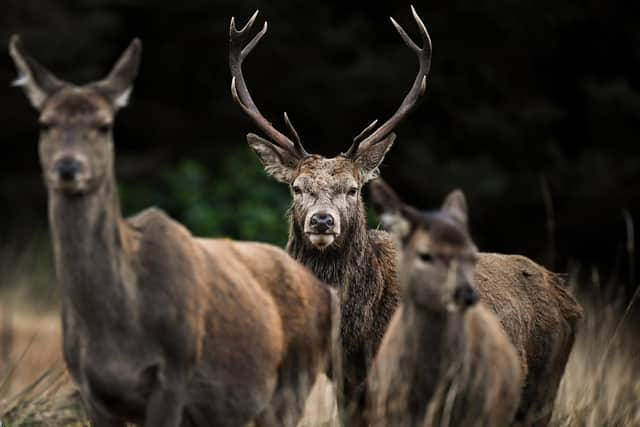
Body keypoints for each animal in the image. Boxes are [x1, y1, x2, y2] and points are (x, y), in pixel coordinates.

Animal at [10, 36, 338, 427]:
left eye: (105, 125)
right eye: (44, 123)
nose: (68, 168)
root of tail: (325, 291)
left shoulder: (175, 372)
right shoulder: (90, 392)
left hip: (293, 382)